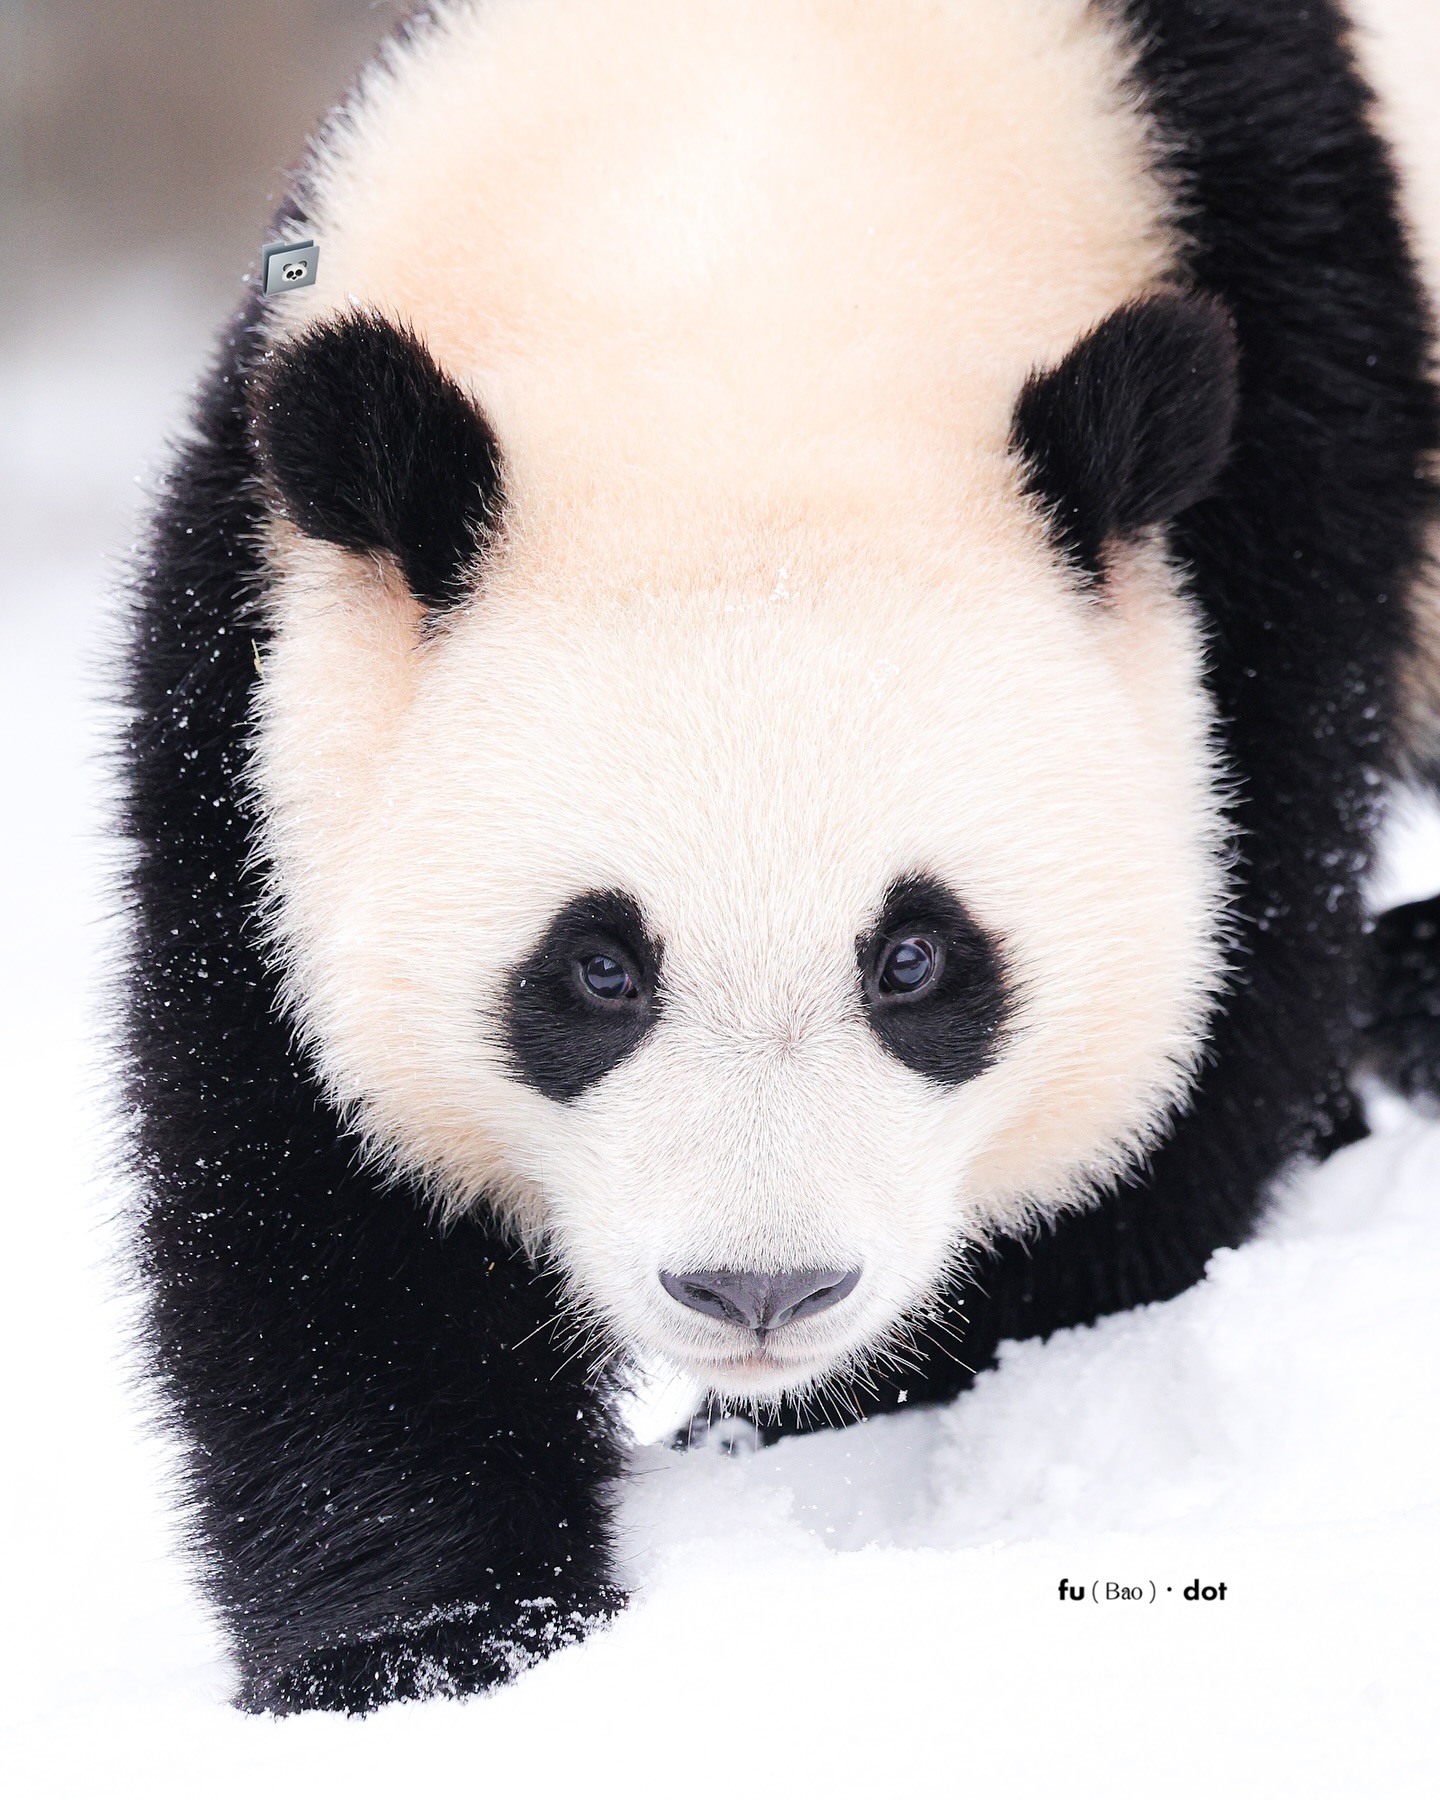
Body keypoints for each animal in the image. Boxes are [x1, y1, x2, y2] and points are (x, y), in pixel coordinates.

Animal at [120, 0, 1440, 1713]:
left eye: (919, 961)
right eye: (595, 969)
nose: (759, 1296)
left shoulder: (1292, 424)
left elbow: (1217, 1036)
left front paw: (833, 1426)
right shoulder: (266, 584)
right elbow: (297, 1163)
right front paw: (427, 1649)